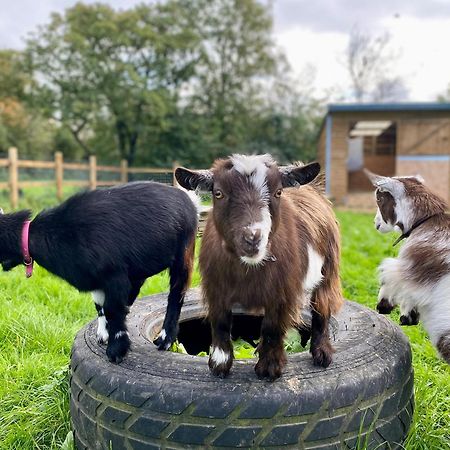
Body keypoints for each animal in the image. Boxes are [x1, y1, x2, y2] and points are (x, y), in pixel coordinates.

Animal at [0, 182, 197, 362]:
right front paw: (103, 334)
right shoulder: (96, 279)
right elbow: (100, 305)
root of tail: (188, 199)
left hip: (183, 254)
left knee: (176, 295)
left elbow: (112, 309)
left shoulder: (114, 276)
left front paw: (116, 350)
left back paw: (165, 339)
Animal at [175, 155, 342, 380]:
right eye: (218, 193)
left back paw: (322, 354)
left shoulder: (283, 293)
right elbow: (220, 323)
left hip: (329, 268)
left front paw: (269, 369)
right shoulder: (215, 289)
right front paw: (219, 366)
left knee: (322, 308)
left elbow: (272, 327)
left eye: (278, 192)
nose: (253, 238)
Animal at [366, 171, 450, 364]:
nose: (375, 223)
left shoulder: (411, 269)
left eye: (379, 199)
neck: (428, 220)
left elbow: (390, 276)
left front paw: (387, 307)